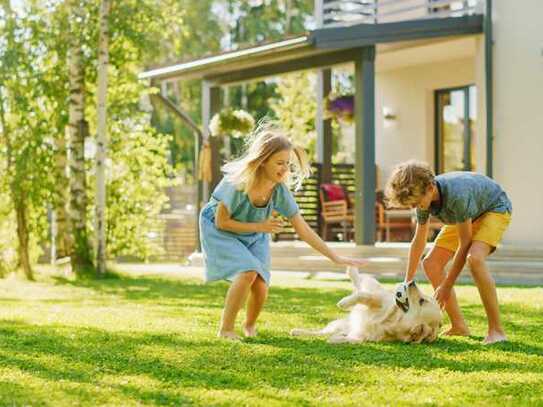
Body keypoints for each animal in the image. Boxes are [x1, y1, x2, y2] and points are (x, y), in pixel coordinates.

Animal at [288, 268, 442, 344]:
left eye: (422, 301)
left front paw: (338, 339)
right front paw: (344, 302)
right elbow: (364, 295)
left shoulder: (364, 335)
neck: (392, 320)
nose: (412, 282)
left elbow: (354, 339)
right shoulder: (381, 298)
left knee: (324, 333)